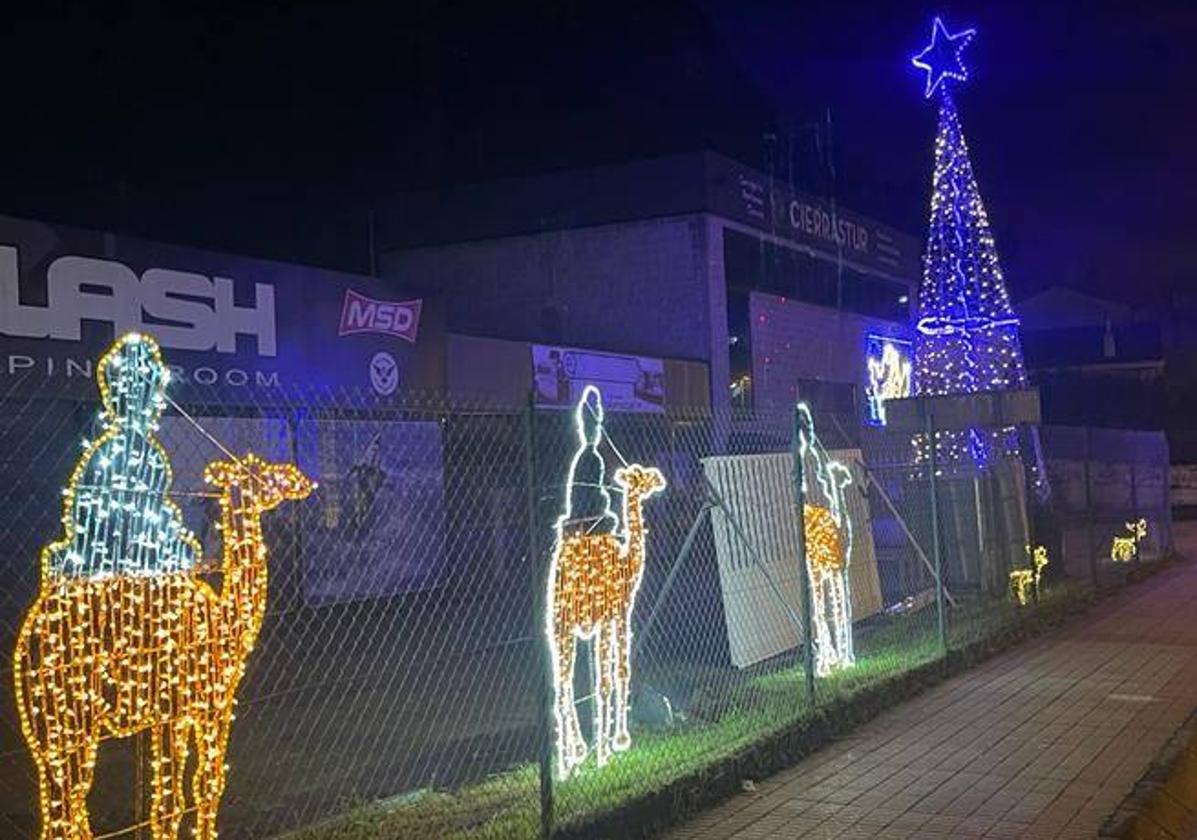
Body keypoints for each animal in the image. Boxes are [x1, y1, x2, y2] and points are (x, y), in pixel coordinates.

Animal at [14, 459, 313, 840]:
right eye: (261, 475)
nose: (300, 482)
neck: (225, 626)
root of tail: (27, 640)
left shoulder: (180, 714)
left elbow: (179, 797)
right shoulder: (204, 706)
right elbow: (197, 790)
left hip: (53, 731)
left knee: (69, 803)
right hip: (64, 717)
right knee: (64, 808)